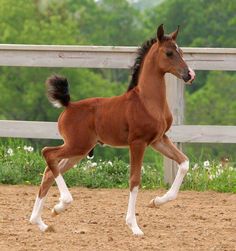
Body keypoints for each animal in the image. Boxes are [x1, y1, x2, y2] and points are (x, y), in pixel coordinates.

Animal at [29, 24, 195, 236]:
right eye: (169, 53)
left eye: (181, 51)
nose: (189, 75)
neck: (147, 101)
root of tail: (69, 106)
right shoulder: (138, 143)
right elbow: (134, 180)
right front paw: (134, 226)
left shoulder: (159, 140)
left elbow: (184, 163)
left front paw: (156, 202)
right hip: (76, 145)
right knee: (48, 154)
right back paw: (62, 203)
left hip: (79, 151)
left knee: (49, 172)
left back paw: (44, 219)